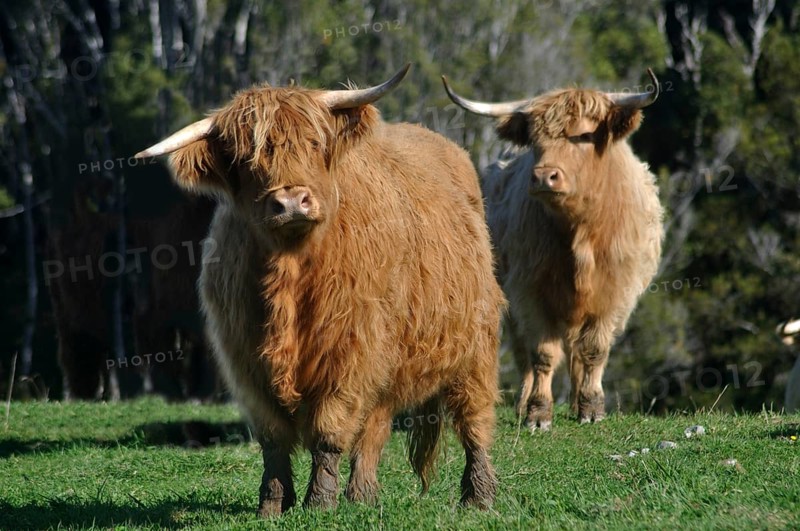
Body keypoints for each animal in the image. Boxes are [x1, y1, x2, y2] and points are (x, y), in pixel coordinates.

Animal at [134, 64, 505, 515]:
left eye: (313, 143)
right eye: (245, 160)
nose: (292, 200)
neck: (290, 272)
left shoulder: (348, 352)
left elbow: (329, 429)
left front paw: (319, 501)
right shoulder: (247, 361)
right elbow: (274, 439)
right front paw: (272, 504)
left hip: (475, 346)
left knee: (474, 419)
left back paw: (478, 497)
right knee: (376, 424)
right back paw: (363, 496)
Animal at [443, 70, 664, 431]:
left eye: (585, 135)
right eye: (535, 140)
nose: (544, 176)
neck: (580, 235)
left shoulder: (615, 292)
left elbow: (594, 350)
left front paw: (591, 408)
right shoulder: (530, 291)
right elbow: (542, 353)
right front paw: (538, 413)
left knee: (576, 351)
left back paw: (576, 402)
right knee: (524, 351)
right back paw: (523, 405)